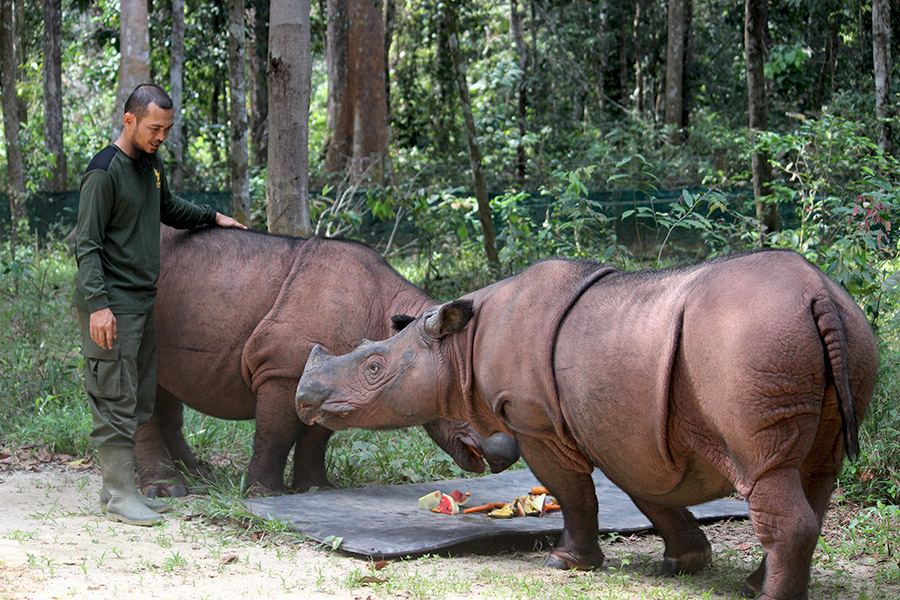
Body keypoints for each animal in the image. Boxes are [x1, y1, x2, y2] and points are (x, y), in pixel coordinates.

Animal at [134, 225, 516, 496]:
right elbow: (275, 432)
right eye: (461, 399)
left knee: (164, 385)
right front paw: (265, 494)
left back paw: (197, 472)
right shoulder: (283, 370)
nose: (508, 452)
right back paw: (167, 490)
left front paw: (316, 488)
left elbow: (318, 437)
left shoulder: (337, 384)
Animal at [298, 251, 880, 600]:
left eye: (374, 368)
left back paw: (766, 596)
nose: (305, 399)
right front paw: (684, 562)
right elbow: (646, 490)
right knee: (815, 472)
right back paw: (756, 582)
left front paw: (564, 564)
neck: (458, 347)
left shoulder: (533, 420)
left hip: (754, 341)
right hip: (848, 331)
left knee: (769, 472)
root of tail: (818, 293)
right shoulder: (626, 426)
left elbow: (574, 492)